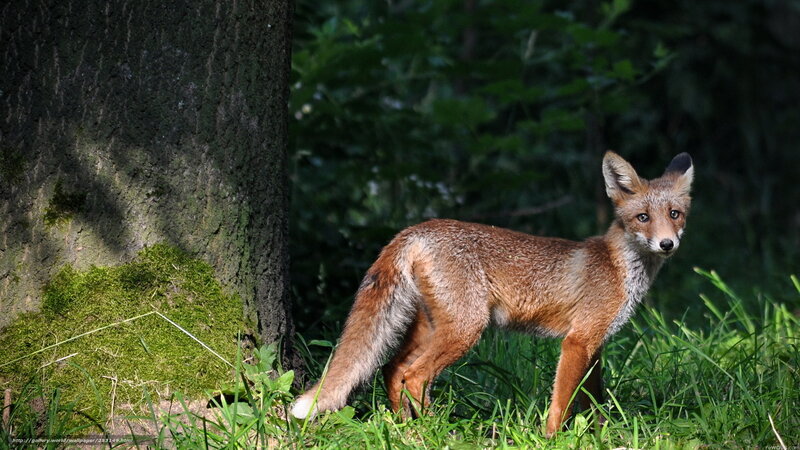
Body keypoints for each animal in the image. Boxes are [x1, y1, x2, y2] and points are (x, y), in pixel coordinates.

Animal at [291, 151, 694, 437]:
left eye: (674, 214)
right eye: (643, 218)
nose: (668, 244)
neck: (617, 266)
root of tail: (416, 229)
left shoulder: (595, 345)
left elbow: (593, 401)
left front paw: (599, 436)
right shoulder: (578, 341)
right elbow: (562, 402)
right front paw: (552, 438)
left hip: (431, 326)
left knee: (393, 369)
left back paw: (405, 427)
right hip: (466, 328)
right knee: (414, 375)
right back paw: (437, 429)